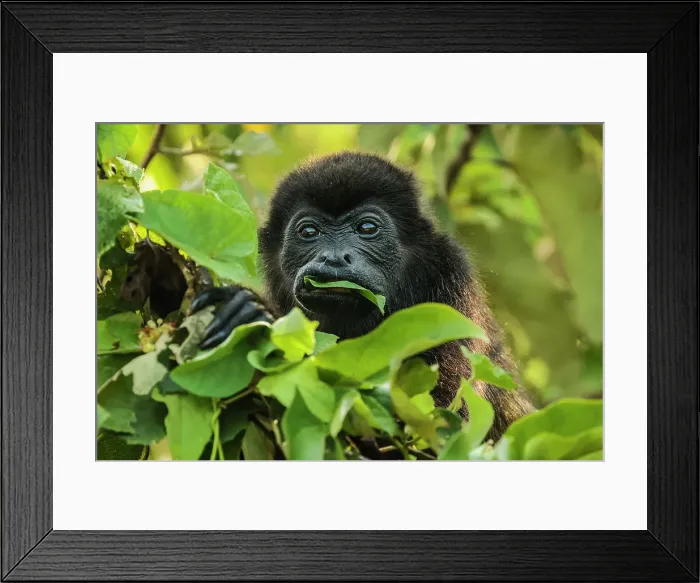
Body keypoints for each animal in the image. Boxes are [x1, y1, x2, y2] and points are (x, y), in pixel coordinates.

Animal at [189, 151, 535, 442]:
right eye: (309, 232)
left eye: (367, 228)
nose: (334, 257)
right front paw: (243, 310)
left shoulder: (452, 294)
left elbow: (438, 425)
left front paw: (254, 316)